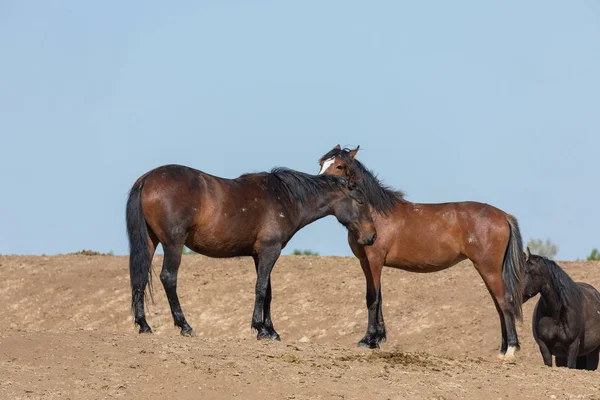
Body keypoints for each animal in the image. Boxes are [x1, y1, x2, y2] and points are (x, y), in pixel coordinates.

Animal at [125, 164, 376, 340]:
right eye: (361, 201)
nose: (372, 236)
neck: (285, 198)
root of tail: (147, 179)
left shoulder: (260, 254)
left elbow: (268, 291)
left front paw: (271, 330)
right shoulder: (270, 251)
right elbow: (261, 288)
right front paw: (260, 329)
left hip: (149, 242)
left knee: (139, 277)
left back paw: (144, 325)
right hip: (173, 244)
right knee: (168, 278)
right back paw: (184, 325)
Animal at [318, 146, 524, 362]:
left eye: (339, 166)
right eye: (321, 163)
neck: (374, 215)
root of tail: (504, 216)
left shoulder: (374, 260)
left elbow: (372, 298)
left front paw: (367, 341)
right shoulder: (365, 262)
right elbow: (378, 297)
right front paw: (376, 339)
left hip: (489, 268)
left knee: (504, 301)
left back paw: (510, 350)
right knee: (498, 304)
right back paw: (502, 350)